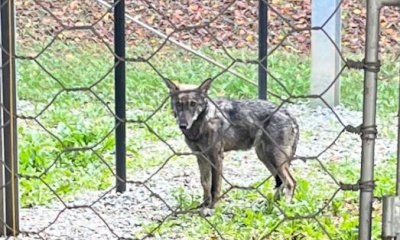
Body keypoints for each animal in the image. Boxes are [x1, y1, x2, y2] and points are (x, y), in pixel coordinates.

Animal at [164, 78, 298, 212]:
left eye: (193, 104)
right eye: (179, 104)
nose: (183, 125)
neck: (203, 122)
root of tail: (288, 113)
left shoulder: (216, 157)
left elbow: (215, 187)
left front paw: (213, 207)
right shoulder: (201, 157)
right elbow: (205, 183)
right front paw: (204, 205)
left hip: (274, 158)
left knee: (290, 182)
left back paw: (285, 207)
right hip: (265, 158)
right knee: (281, 183)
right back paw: (270, 205)